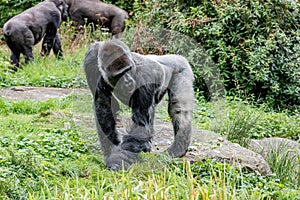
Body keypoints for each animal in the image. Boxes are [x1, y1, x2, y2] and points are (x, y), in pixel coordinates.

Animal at [84, 39, 195, 170]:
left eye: (128, 70)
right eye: (119, 75)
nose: (128, 81)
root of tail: (177, 56)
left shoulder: (145, 78)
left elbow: (139, 125)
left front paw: (118, 162)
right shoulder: (97, 69)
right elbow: (105, 109)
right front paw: (111, 151)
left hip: (182, 68)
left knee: (178, 110)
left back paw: (178, 149)